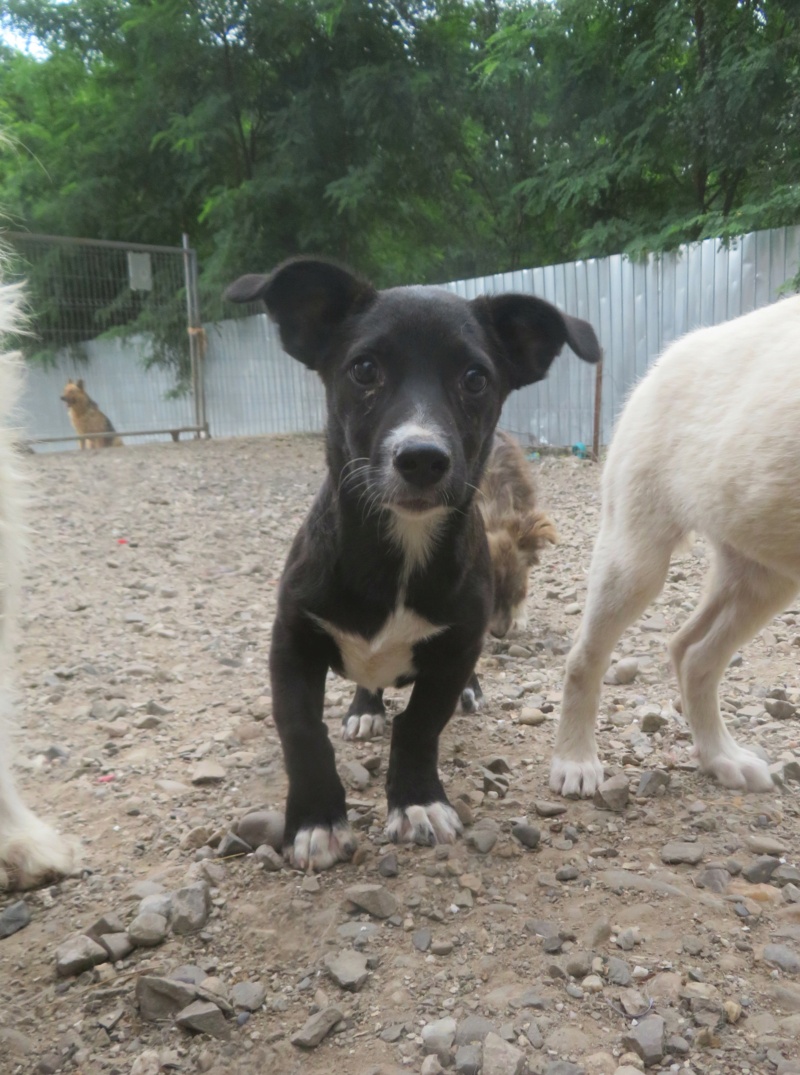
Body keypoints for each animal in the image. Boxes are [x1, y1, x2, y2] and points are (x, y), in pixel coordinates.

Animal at [224, 260, 602, 872]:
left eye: (476, 378)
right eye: (364, 369)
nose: (422, 458)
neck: (400, 550)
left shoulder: (456, 644)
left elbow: (421, 724)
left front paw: (418, 801)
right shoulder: (291, 640)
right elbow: (302, 732)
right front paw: (315, 821)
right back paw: (364, 707)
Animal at [554, 294, 800, 799]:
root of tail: (664, 360)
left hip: (766, 570)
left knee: (693, 654)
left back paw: (722, 758)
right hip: (634, 556)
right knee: (584, 659)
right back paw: (576, 759)